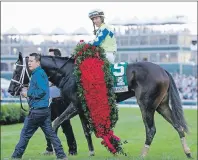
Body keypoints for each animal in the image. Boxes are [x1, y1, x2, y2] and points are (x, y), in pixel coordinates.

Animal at [8, 52, 193, 159]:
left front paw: (54, 149)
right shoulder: (82, 108)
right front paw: (91, 152)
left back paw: (143, 154)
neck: (69, 73)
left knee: (151, 129)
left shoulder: (74, 105)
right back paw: (188, 152)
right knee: (178, 125)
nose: (10, 89)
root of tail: (163, 70)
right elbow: (85, 131)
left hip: (146, 104)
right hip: (161, 104)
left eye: (17, 70)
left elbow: (54, 123)